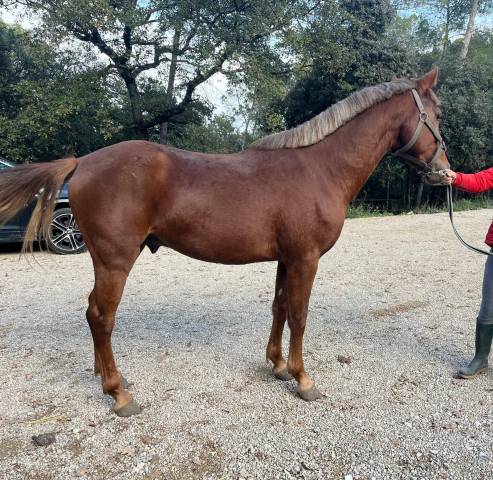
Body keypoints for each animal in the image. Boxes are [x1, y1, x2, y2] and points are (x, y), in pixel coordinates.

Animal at [0, 68, 448, 416]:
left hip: (103, 260)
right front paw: (303, 379)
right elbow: (300, 315)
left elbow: (280, 308)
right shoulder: (306, 258)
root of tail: (83, 162)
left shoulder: (287, 259)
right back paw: (119, 394)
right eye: (438, 114)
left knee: (93, 312)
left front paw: (278, 365)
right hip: (116, 260)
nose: (444, 170)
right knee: (101, 316)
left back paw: (108, 377)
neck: (319, 168)